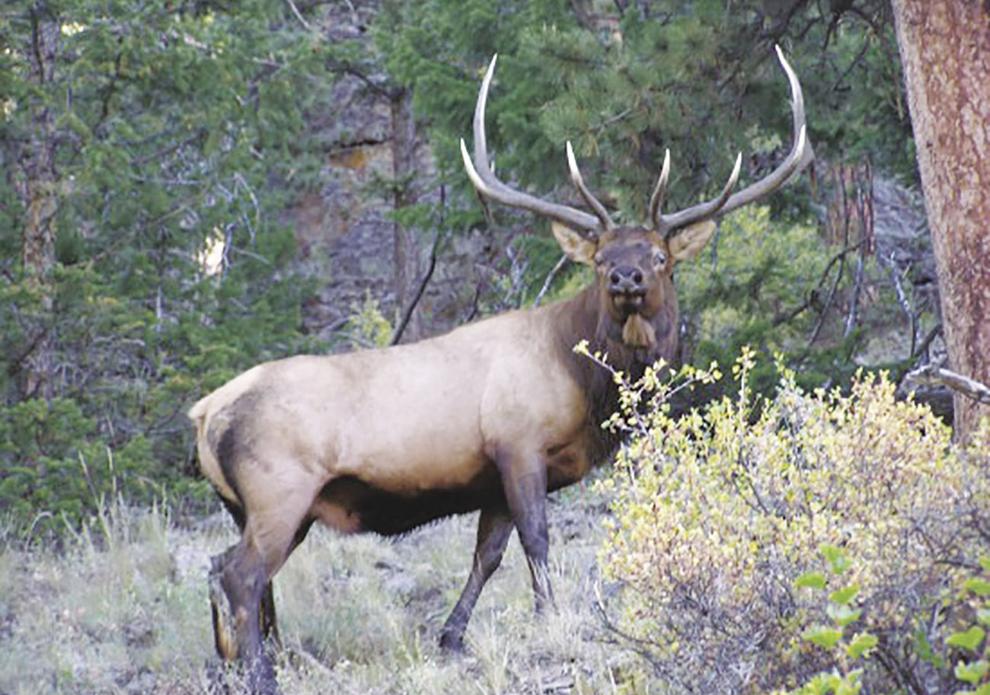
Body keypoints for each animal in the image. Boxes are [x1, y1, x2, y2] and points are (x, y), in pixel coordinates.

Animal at [188, 46, 810, 693]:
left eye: (660, 256)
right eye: (599, 259)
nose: (626, 277)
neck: (586, 387)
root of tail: (203, 414)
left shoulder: (492, 478)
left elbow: (487, 555)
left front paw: (450, 636)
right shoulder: (518, 444)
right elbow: (537, 539)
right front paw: (551, 619)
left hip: (255, 506)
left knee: (226, 569)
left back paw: (243, 664)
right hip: (279, 490)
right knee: (240, 575)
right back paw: (261, 673)